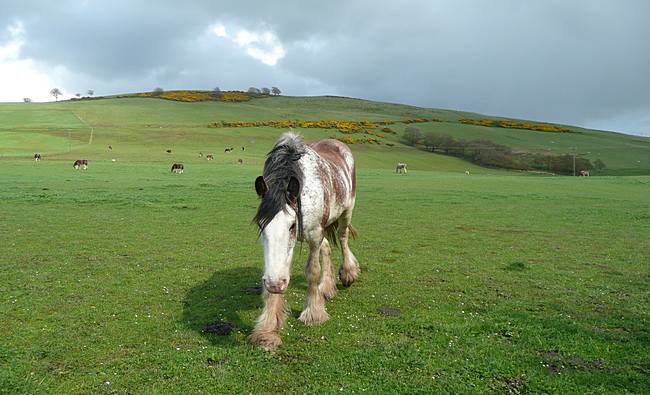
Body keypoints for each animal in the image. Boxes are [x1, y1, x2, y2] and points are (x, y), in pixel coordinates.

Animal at [248, 133, 360, 352]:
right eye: (260, 224)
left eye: (292, 225)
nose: (273, 283)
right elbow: (277, 275)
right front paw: (267, 332)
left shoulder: (315, 235)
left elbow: (312, 271)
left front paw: (313, 313)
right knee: (327, 248)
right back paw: (326, 287)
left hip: (346, 211)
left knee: (342, 239)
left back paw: (348, 274)